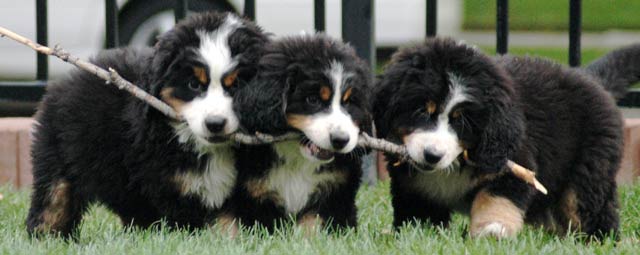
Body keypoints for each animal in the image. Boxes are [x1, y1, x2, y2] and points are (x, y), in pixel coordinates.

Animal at [26, 10, 268, 236]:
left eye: (237, 85)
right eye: (193, 84)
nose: (215, 124)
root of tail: (62, 82)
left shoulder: (235, 191)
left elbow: (228, 225)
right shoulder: (169, 187)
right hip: (56, 158)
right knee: (52, 201)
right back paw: (46, 236)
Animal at [229, 33, 372, 231]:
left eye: (349, 102)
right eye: (312, 100)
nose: (341, 140)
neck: (297, 159)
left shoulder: (335, 194)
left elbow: (313, 226)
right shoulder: (256, 197)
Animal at [376, 37, 640, 239]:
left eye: (461, 122)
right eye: (422, 111)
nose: (432, 156)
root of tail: (592, 80)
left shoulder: (515, 164)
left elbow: (495, 199)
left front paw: (492, 229)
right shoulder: (416, 189)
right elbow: (419, 216)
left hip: (588, 173)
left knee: (592, 210)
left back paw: (599, 239)